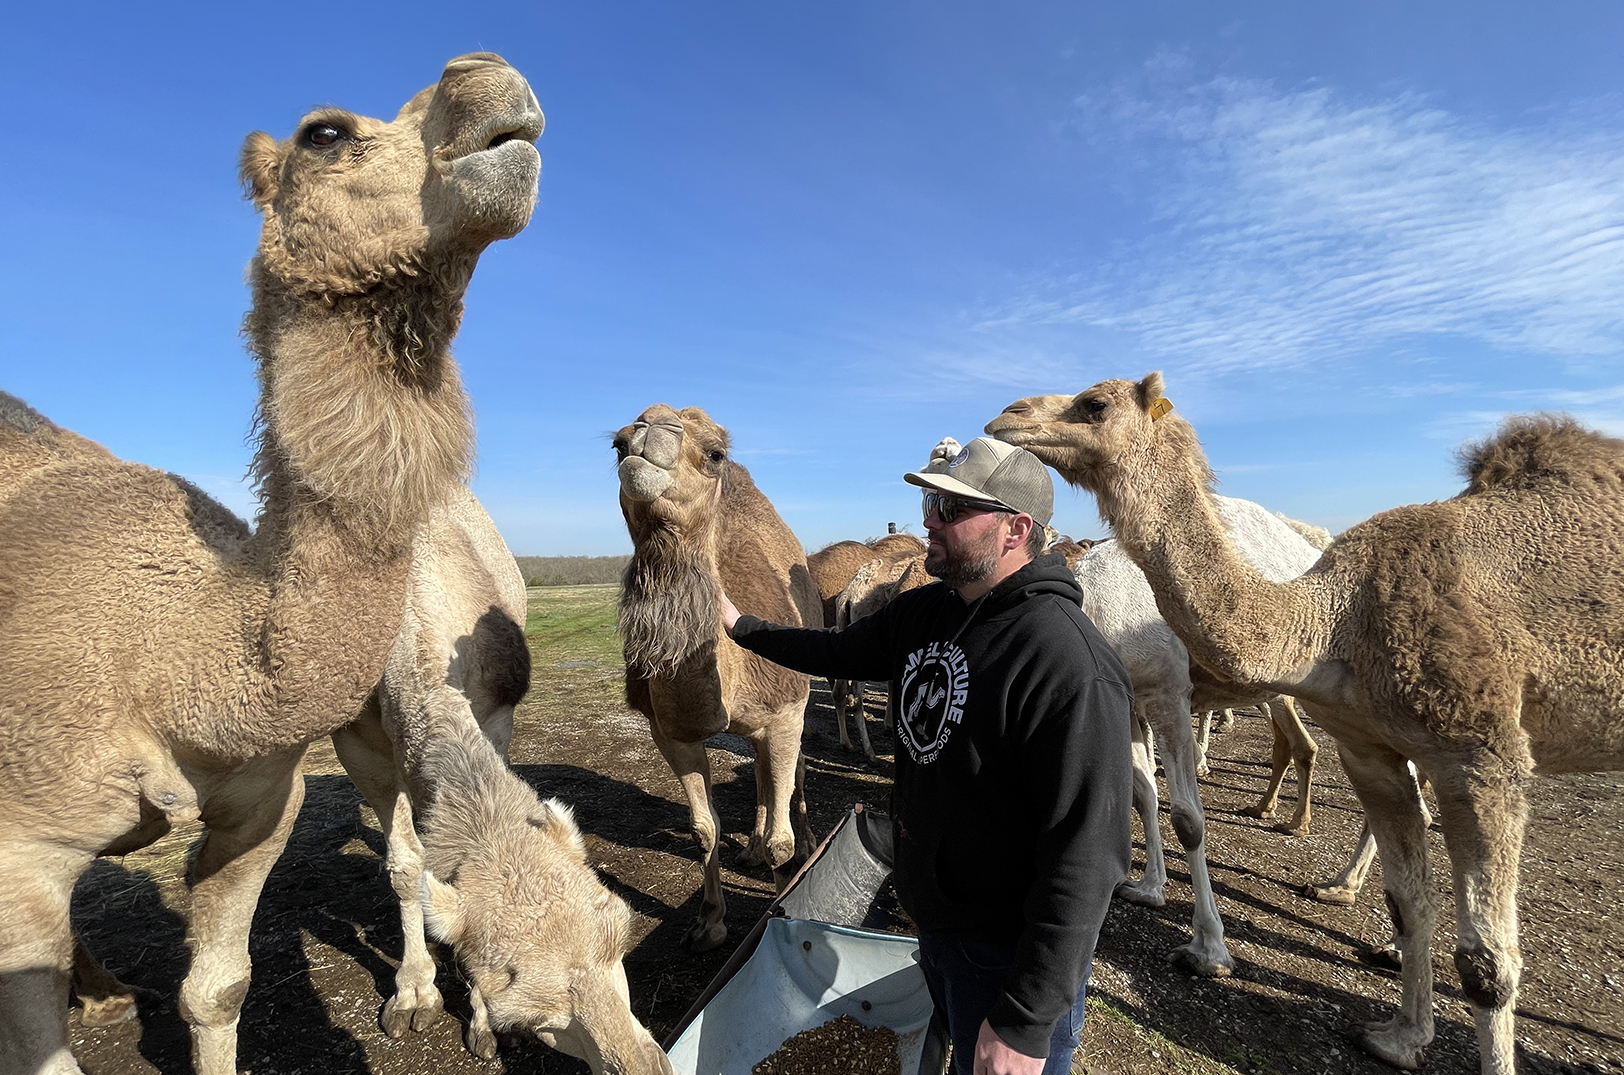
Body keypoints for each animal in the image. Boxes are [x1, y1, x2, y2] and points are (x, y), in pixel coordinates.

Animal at [0, 56, 545, 1075]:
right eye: (323, 134)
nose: (490, 81)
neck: (169, 660)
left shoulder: (266, 797)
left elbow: (219, 986)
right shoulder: (20, 849)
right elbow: (408, 861)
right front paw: (415, 996)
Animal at [610, 404, 818, 954]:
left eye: (715, 454)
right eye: (617, 445)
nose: (649, 427)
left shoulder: (786, 713)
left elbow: (782, 840)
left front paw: (781, 904)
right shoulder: (670, 730)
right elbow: (704, 828)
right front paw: (709, 924)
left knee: (791, 776)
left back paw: (802, 842)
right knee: (764, 781)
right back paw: (750, 847)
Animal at [980, 373, 1624, 1075]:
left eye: (1094, 404)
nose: (1007, 414)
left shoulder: (1171, 690)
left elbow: (1187, 818)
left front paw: (1210, 950)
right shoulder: (1126, 698)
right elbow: (1143, 795)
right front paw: (1145, 887)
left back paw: (1340, 881)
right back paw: (1336, 879)